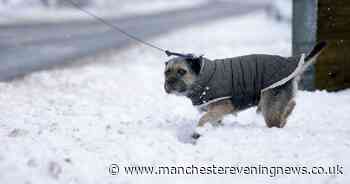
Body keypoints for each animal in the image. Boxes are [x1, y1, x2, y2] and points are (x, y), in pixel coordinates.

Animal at [163, 42, 326, 138]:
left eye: (182, 71)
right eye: (167, 72)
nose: (169, 84)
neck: (202, 76)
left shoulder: (223, 105)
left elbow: (203, 119)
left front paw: (198, 132)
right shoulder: (215, 111)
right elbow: (212, 120)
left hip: (270, 105)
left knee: (277, 120)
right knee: (290, 105)